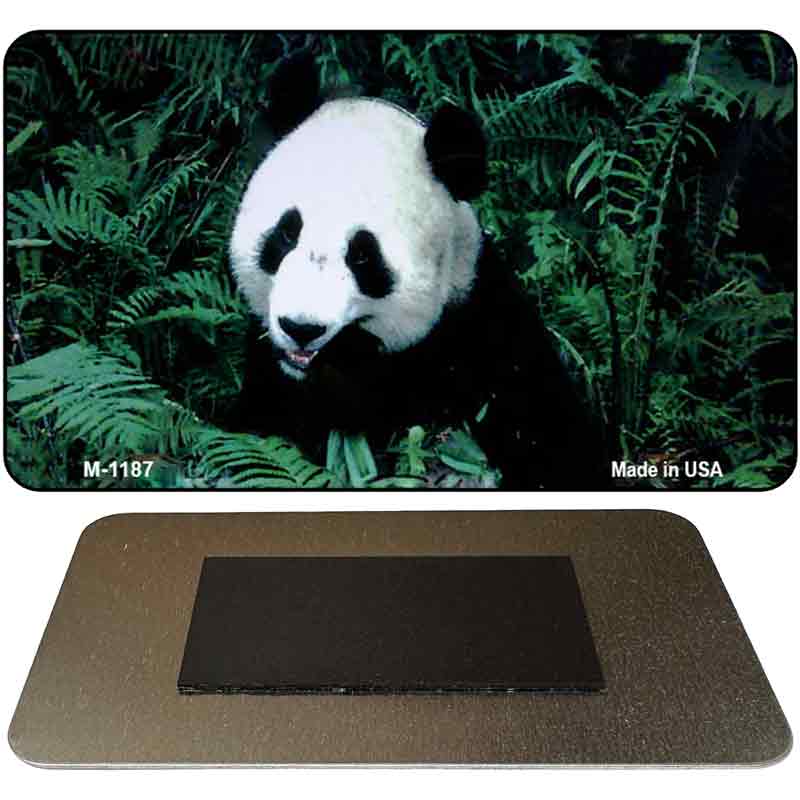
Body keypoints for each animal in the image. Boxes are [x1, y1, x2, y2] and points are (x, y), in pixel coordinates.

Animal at [229, 53, 607, 489]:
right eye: (288, 232)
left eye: (363, 256)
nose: (302, 328)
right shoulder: (270, 381)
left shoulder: (488, 339)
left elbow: (552, 446)